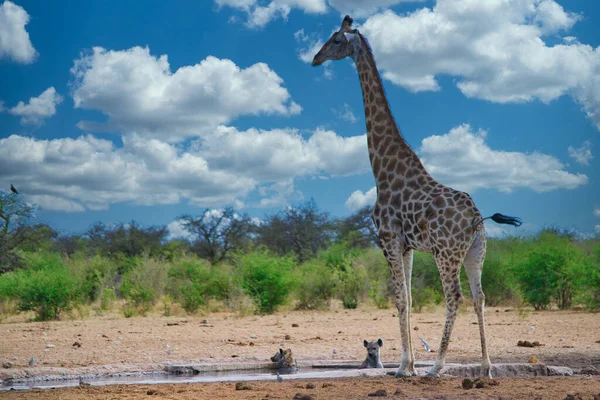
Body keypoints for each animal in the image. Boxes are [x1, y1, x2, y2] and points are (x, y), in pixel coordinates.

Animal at [312, 15, 524, 378]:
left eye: (336, 40)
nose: (315, 58)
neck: (382, 167)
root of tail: (477, 218)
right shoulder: (406, 245)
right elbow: (409, 299)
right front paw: (408, 365)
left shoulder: (387, 237)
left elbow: (400, 298)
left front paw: (404, 368)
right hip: (476, 252)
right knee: (480, 296)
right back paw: (486, 367)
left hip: (446, 253)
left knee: (455, 296)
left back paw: (437, 366)